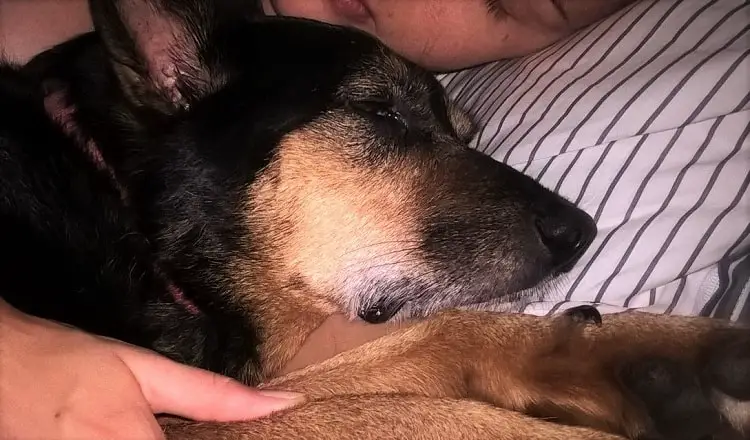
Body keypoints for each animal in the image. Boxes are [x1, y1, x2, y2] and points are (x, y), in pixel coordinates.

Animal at [1, 0, 750, 440]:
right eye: (381, 112)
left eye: (467, 133)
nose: (580, 233)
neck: (128, 217)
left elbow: (413, 350)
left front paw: (644, 355)